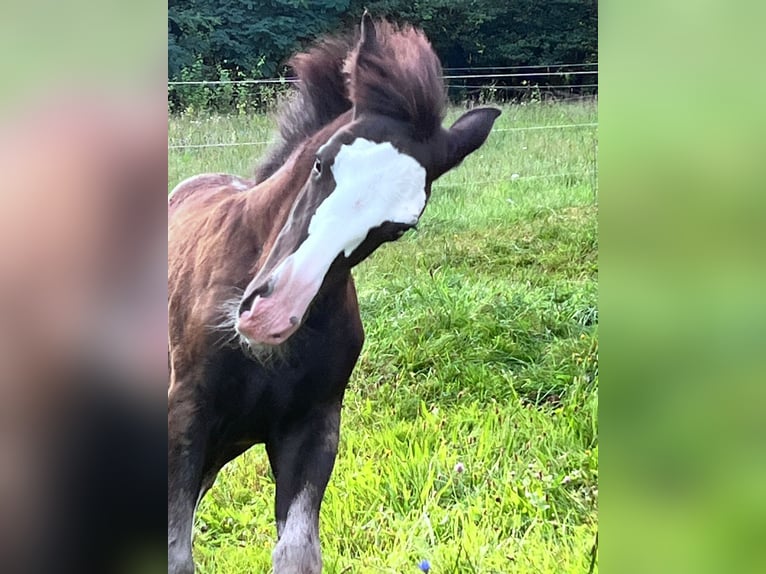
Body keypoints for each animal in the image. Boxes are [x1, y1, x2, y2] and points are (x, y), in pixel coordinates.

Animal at [168, 13, 500, 574]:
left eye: (399, 228)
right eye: (322, 163)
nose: (271, 316)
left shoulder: (315, 425)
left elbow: (298, 552)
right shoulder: (184, 417)